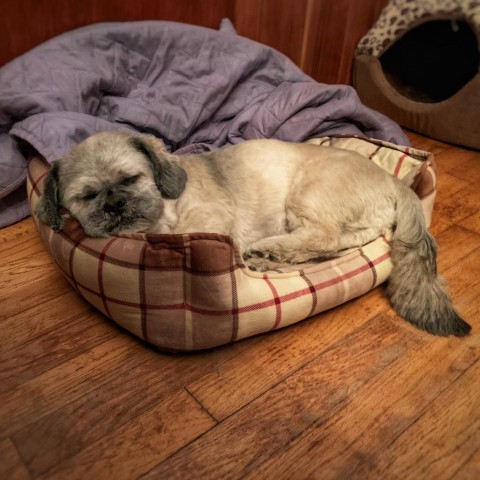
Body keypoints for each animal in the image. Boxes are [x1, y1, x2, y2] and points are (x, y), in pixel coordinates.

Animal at [35, 131, 470, 338]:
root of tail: (394, 181)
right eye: (87, 196)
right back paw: (271, 257)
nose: (114, 206)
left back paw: (265, 252)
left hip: (308, 192)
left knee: (324, 237)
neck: (164, 210)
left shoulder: (210, 219)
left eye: (130, 179)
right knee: (333, 246)